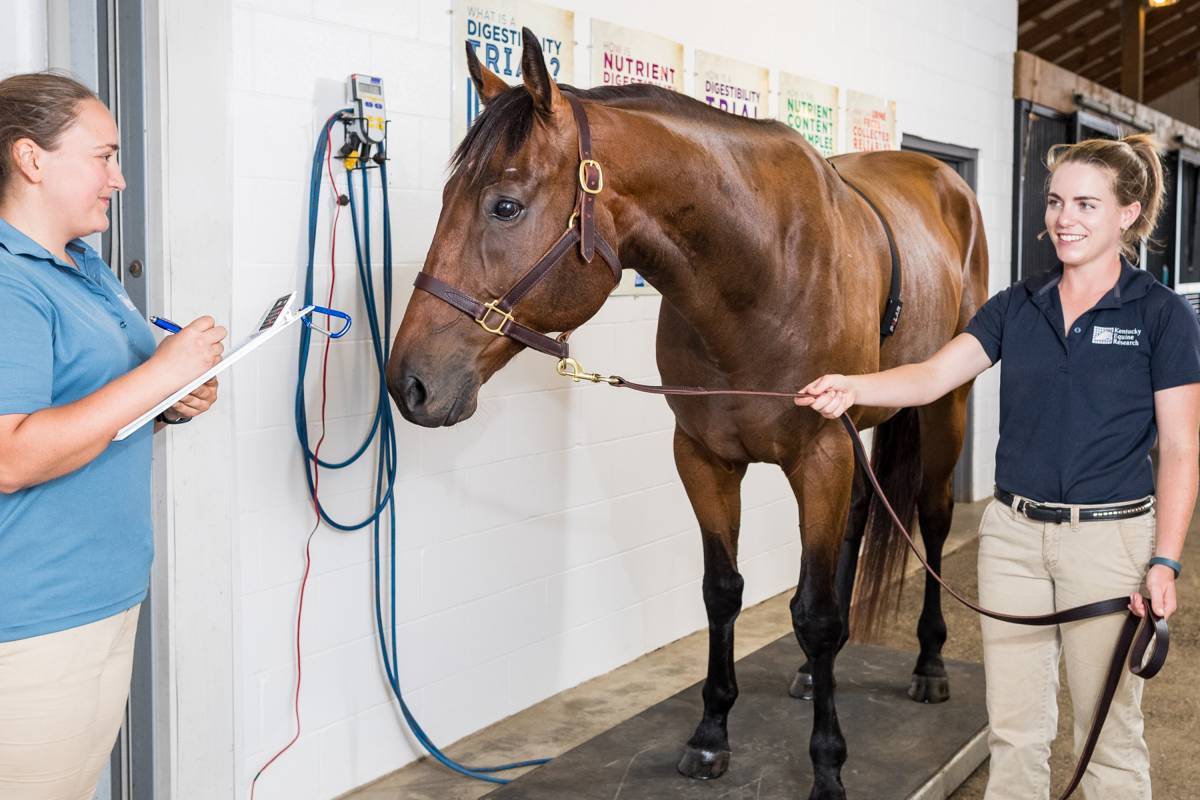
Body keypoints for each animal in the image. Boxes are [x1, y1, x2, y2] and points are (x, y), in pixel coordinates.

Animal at [388, 28, 988, 796]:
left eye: (505, 206)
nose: (409, 383)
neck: (759, 271)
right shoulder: (703, 456)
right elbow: (723, 592)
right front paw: (710, 733)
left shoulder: (819, 453)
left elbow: (815, 614)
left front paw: (827, 764)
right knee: (857, 523)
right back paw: (807, 676)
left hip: (945, 406)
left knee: (934, 520)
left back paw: (930, 663)